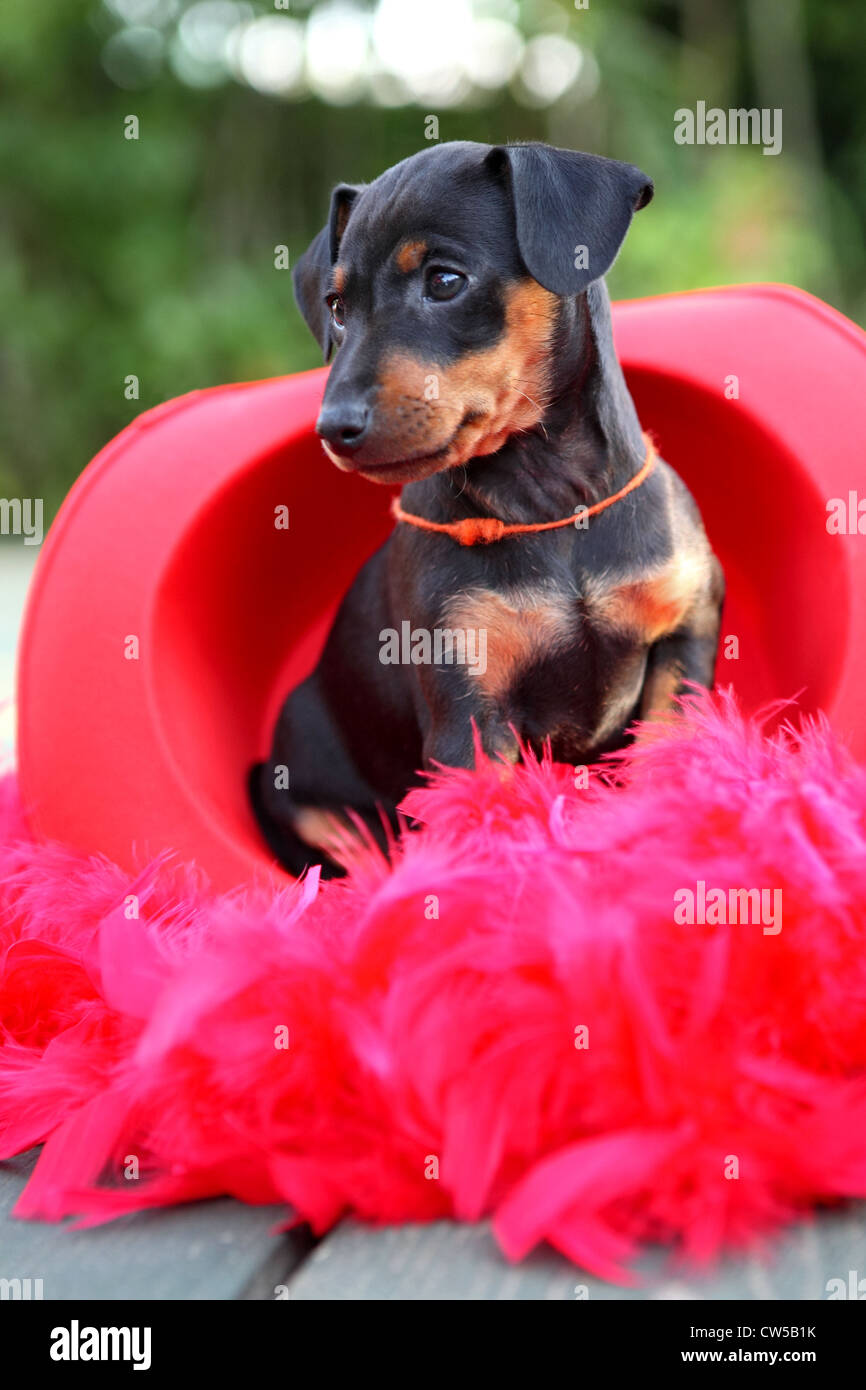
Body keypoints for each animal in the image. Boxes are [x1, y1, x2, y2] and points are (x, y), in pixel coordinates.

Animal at [250, 143, 722, 878]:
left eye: (444, 281)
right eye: (336, 307)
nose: (332, 428)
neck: (551, 504)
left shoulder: (685, 629)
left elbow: (662, 748)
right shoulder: (467, 714)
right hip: (307, 791)